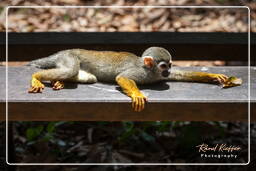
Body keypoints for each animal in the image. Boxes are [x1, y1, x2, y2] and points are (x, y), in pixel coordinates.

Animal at [27, 46, 242, 112]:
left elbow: (183, 75)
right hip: (69, 57)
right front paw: (137, 94)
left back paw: (61, 81)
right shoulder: (140, 72)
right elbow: (122, 77)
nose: (166, 73)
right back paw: (37, 77)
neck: (150, 71)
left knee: (85, 76)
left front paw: (213, 76)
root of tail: (62, 51)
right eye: (163, 66)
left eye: (170, 66)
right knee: (70, 68)